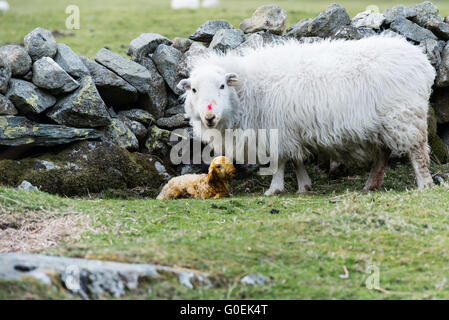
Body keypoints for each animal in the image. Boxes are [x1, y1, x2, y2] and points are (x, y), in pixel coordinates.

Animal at [178, 36, 434, 194]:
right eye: (194, 89)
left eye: (222, 86)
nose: (209, 116)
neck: (248, 91)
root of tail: (422, 61)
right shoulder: (293, 130)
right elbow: (297, 159)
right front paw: (304, 186)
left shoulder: (278, 130)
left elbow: (280, 161)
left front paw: (274, 189)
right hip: (382, 125)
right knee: (383, 154)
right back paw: (371, 185)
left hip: (405, 116)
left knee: (418, 151)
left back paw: (425, 183)